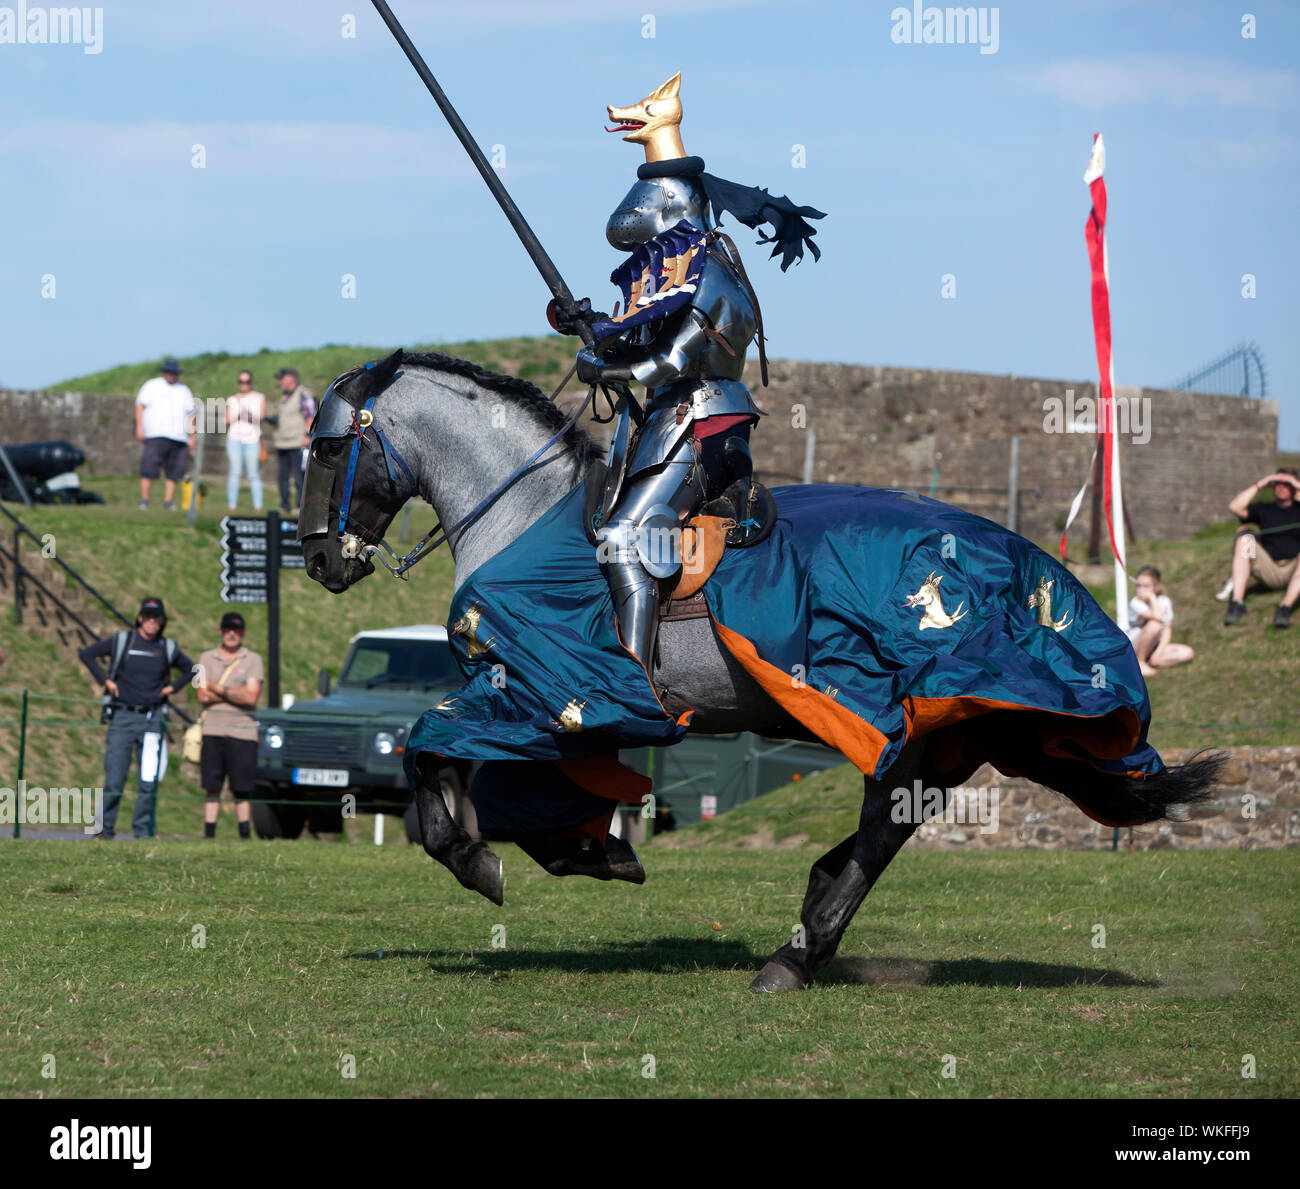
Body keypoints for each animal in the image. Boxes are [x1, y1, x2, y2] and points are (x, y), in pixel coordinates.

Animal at [299, 350, 1222, 992]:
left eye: (327, 449)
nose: (317, 560)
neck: (525, 518)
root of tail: (1031, 570)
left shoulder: (541, 693)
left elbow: (427, 744)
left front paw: (479, 857)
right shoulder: (545, 707)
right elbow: (497, 778)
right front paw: (586, 849)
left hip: (904, 716)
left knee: (884, 825)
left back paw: (796, 951)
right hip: (940, 733)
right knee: (894, 820)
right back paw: (813, 917)